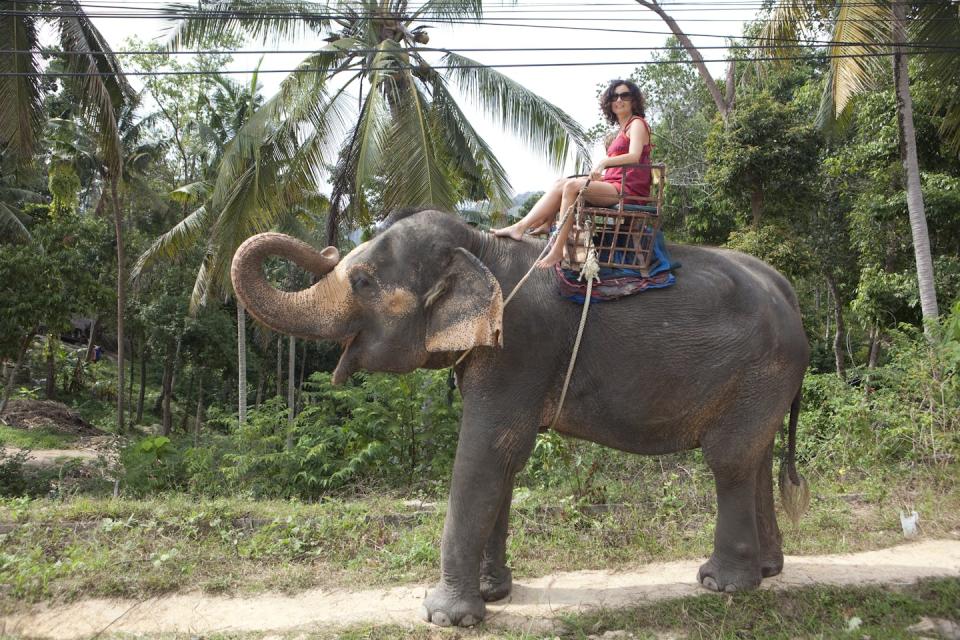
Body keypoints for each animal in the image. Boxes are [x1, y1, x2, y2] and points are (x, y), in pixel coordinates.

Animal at [232, 209, 808, 624]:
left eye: (364, 282)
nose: (328, 246)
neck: (481, 247)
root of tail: (790, 296)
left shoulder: (520, 348)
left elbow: (487, 451)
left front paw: (445, 616)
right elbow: (504, 462)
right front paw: (494, 595)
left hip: (760, 370)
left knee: (729, 460)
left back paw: (721, 583)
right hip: (766, 383)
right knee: (756, 457)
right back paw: (767, 570)